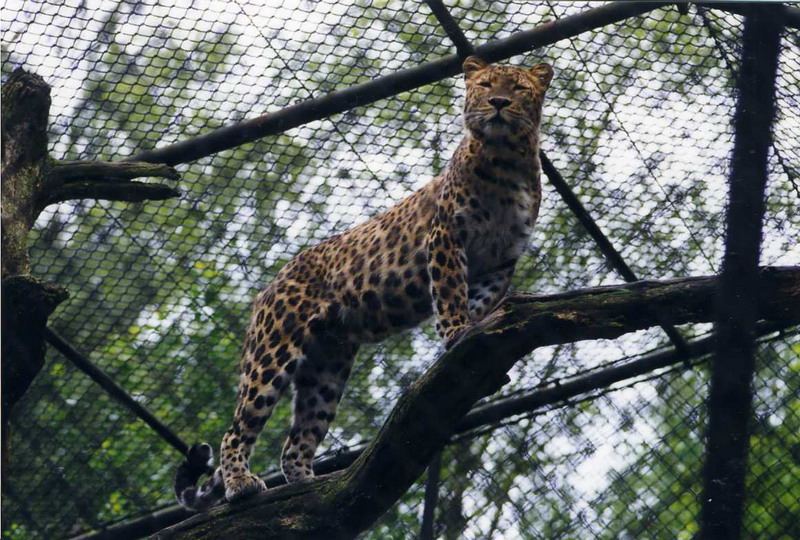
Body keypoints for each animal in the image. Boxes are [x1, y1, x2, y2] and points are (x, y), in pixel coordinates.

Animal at [175, 55, 554, 511]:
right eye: (484, 85)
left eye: (517, 88)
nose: (498, 103)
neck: (507, 160)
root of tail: (267, 288)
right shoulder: (445, 236)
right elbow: (449, 292)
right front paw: (457, 333)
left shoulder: (502, 260)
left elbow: (479, 299)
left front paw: (472, 329)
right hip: (273, 350)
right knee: (237, 429)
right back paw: (240, 483)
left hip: (327, 370)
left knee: (295, 443)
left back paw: (311, 490)